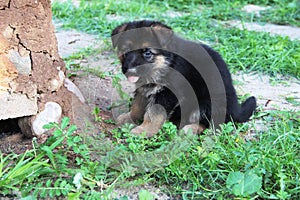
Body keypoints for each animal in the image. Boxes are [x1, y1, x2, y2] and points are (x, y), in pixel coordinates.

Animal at [111, 19, 256, 136]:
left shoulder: (168, 92)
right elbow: (138, 105)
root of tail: (235, 110)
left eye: (147, 53)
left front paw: (144, 131)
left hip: (206, 104)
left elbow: (153, 114)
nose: (129, 71)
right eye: (125, 51)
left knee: (213, 125)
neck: (167, 62)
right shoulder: (144, 89)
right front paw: (129, 118)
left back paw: (190, 129)